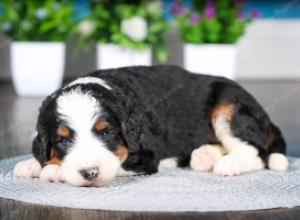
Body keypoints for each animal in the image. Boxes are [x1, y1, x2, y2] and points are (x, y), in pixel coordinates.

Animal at [13, 65, 288, 187]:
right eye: (63, 140)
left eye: (106, 132)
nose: (90, 172)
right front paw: (31, 164)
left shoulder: (144, 155)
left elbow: (116, 163)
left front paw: (55, 171)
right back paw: (203, 156)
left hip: (228, 105)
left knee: (257, 153)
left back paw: (227, 164)